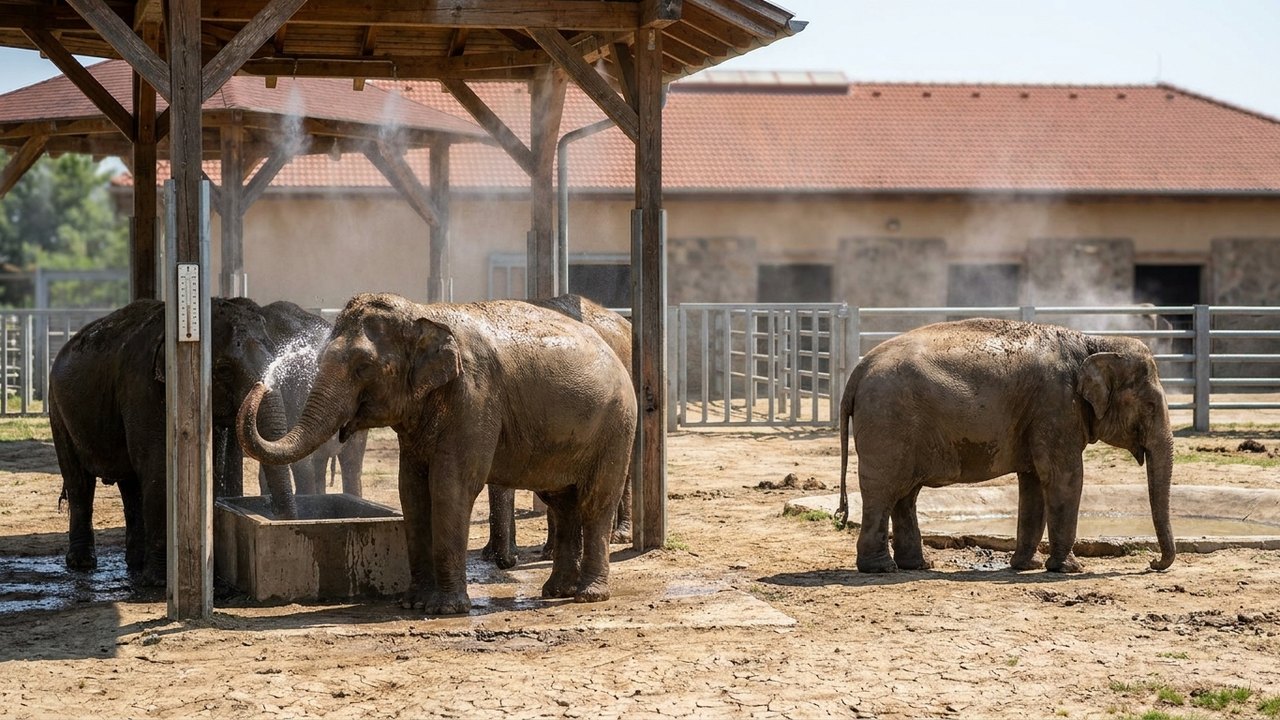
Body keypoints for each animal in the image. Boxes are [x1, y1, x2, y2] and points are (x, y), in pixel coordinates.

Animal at [48, 298, 296, 587]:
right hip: (58, 410)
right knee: (79, 481)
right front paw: (160, 581)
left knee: (130, 483)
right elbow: (158, 468)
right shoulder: (143, 389)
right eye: (223, 369)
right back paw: (83, 563)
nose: (282, 524)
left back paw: (134, 563)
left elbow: (212, 468)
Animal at [836, 318, 1176, 574]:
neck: (1094, 343)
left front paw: (1027, 566)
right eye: (1149, 405)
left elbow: (1034, 483)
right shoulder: (1056, 406)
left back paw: (918, 565)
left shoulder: (1041, 416)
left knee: (905, 494)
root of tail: (857, 373)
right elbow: (1065, 477)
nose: (1152, 563)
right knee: (883, 491)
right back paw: (881, 568)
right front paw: (1069, 569)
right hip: (888, 422)